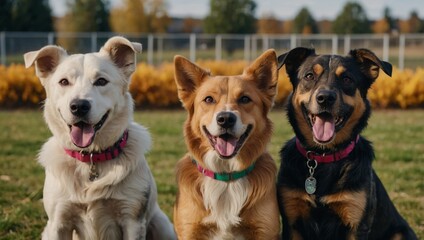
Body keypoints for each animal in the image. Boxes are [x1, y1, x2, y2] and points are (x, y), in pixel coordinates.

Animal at [23, 36, 176, 239]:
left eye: (101, 81)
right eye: (64, 82)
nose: (79, 106)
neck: (91, 157)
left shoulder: (133, 220)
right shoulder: (58, 222)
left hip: (162, 225)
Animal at [172, 49, 282, 239]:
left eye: (245, 99)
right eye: (209, 99)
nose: (225, 119)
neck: (226, 176)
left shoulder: (264, 230)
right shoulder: (190, 231)